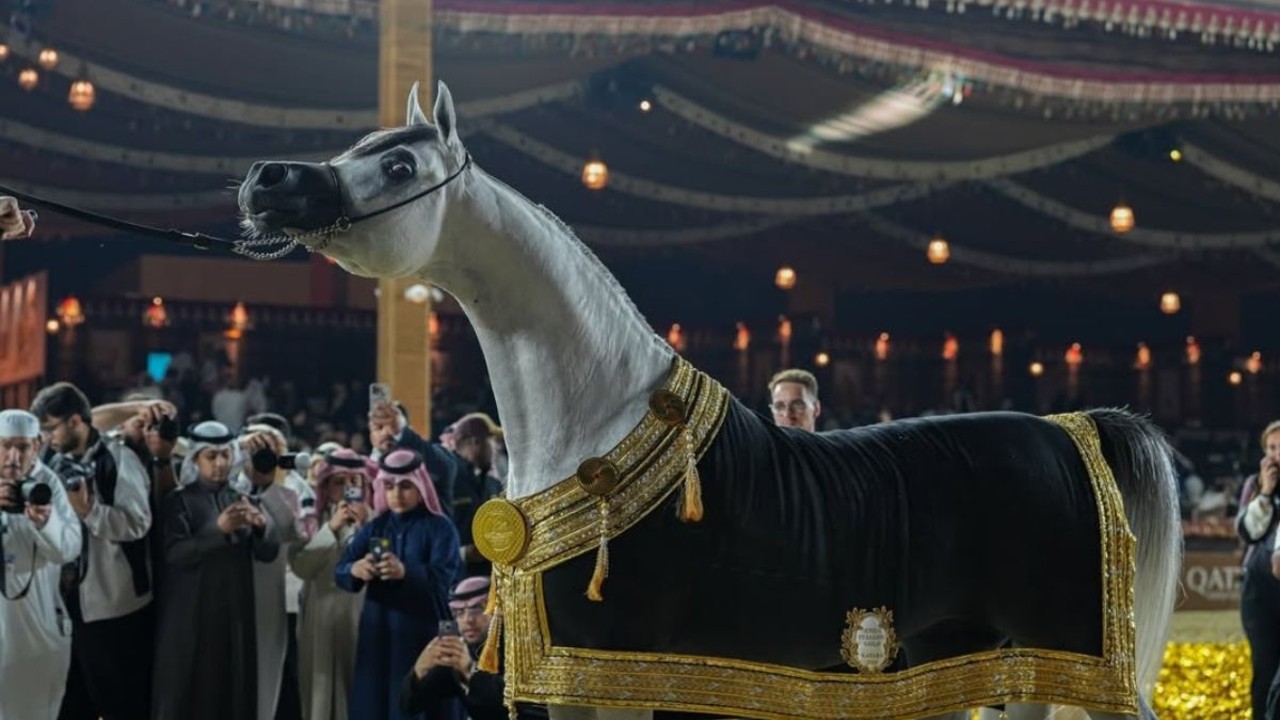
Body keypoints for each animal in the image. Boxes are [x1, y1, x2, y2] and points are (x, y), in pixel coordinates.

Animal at [237, 81, 1181, 720]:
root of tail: (1074, 433)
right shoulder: (574, 682)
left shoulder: (617, 680)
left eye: (399, 162)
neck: (600, 423)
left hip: (1066, 665)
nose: (265, 180)